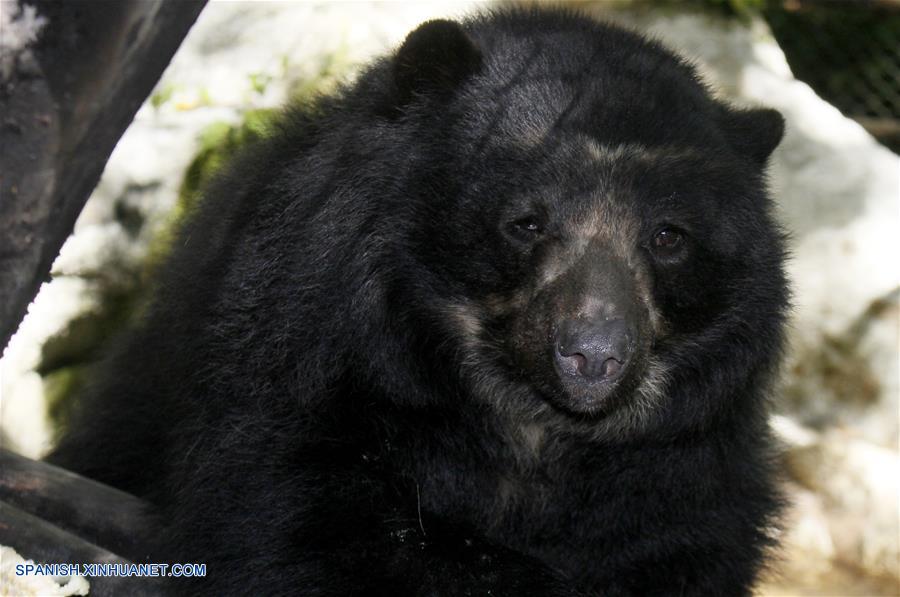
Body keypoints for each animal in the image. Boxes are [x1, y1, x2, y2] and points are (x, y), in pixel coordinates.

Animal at [52, 7, 792, 592]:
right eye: (526, 222)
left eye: (668, 237)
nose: (594, 355)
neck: (525, 429)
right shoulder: (296, 375)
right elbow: (298, 529)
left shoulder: (685, 473)